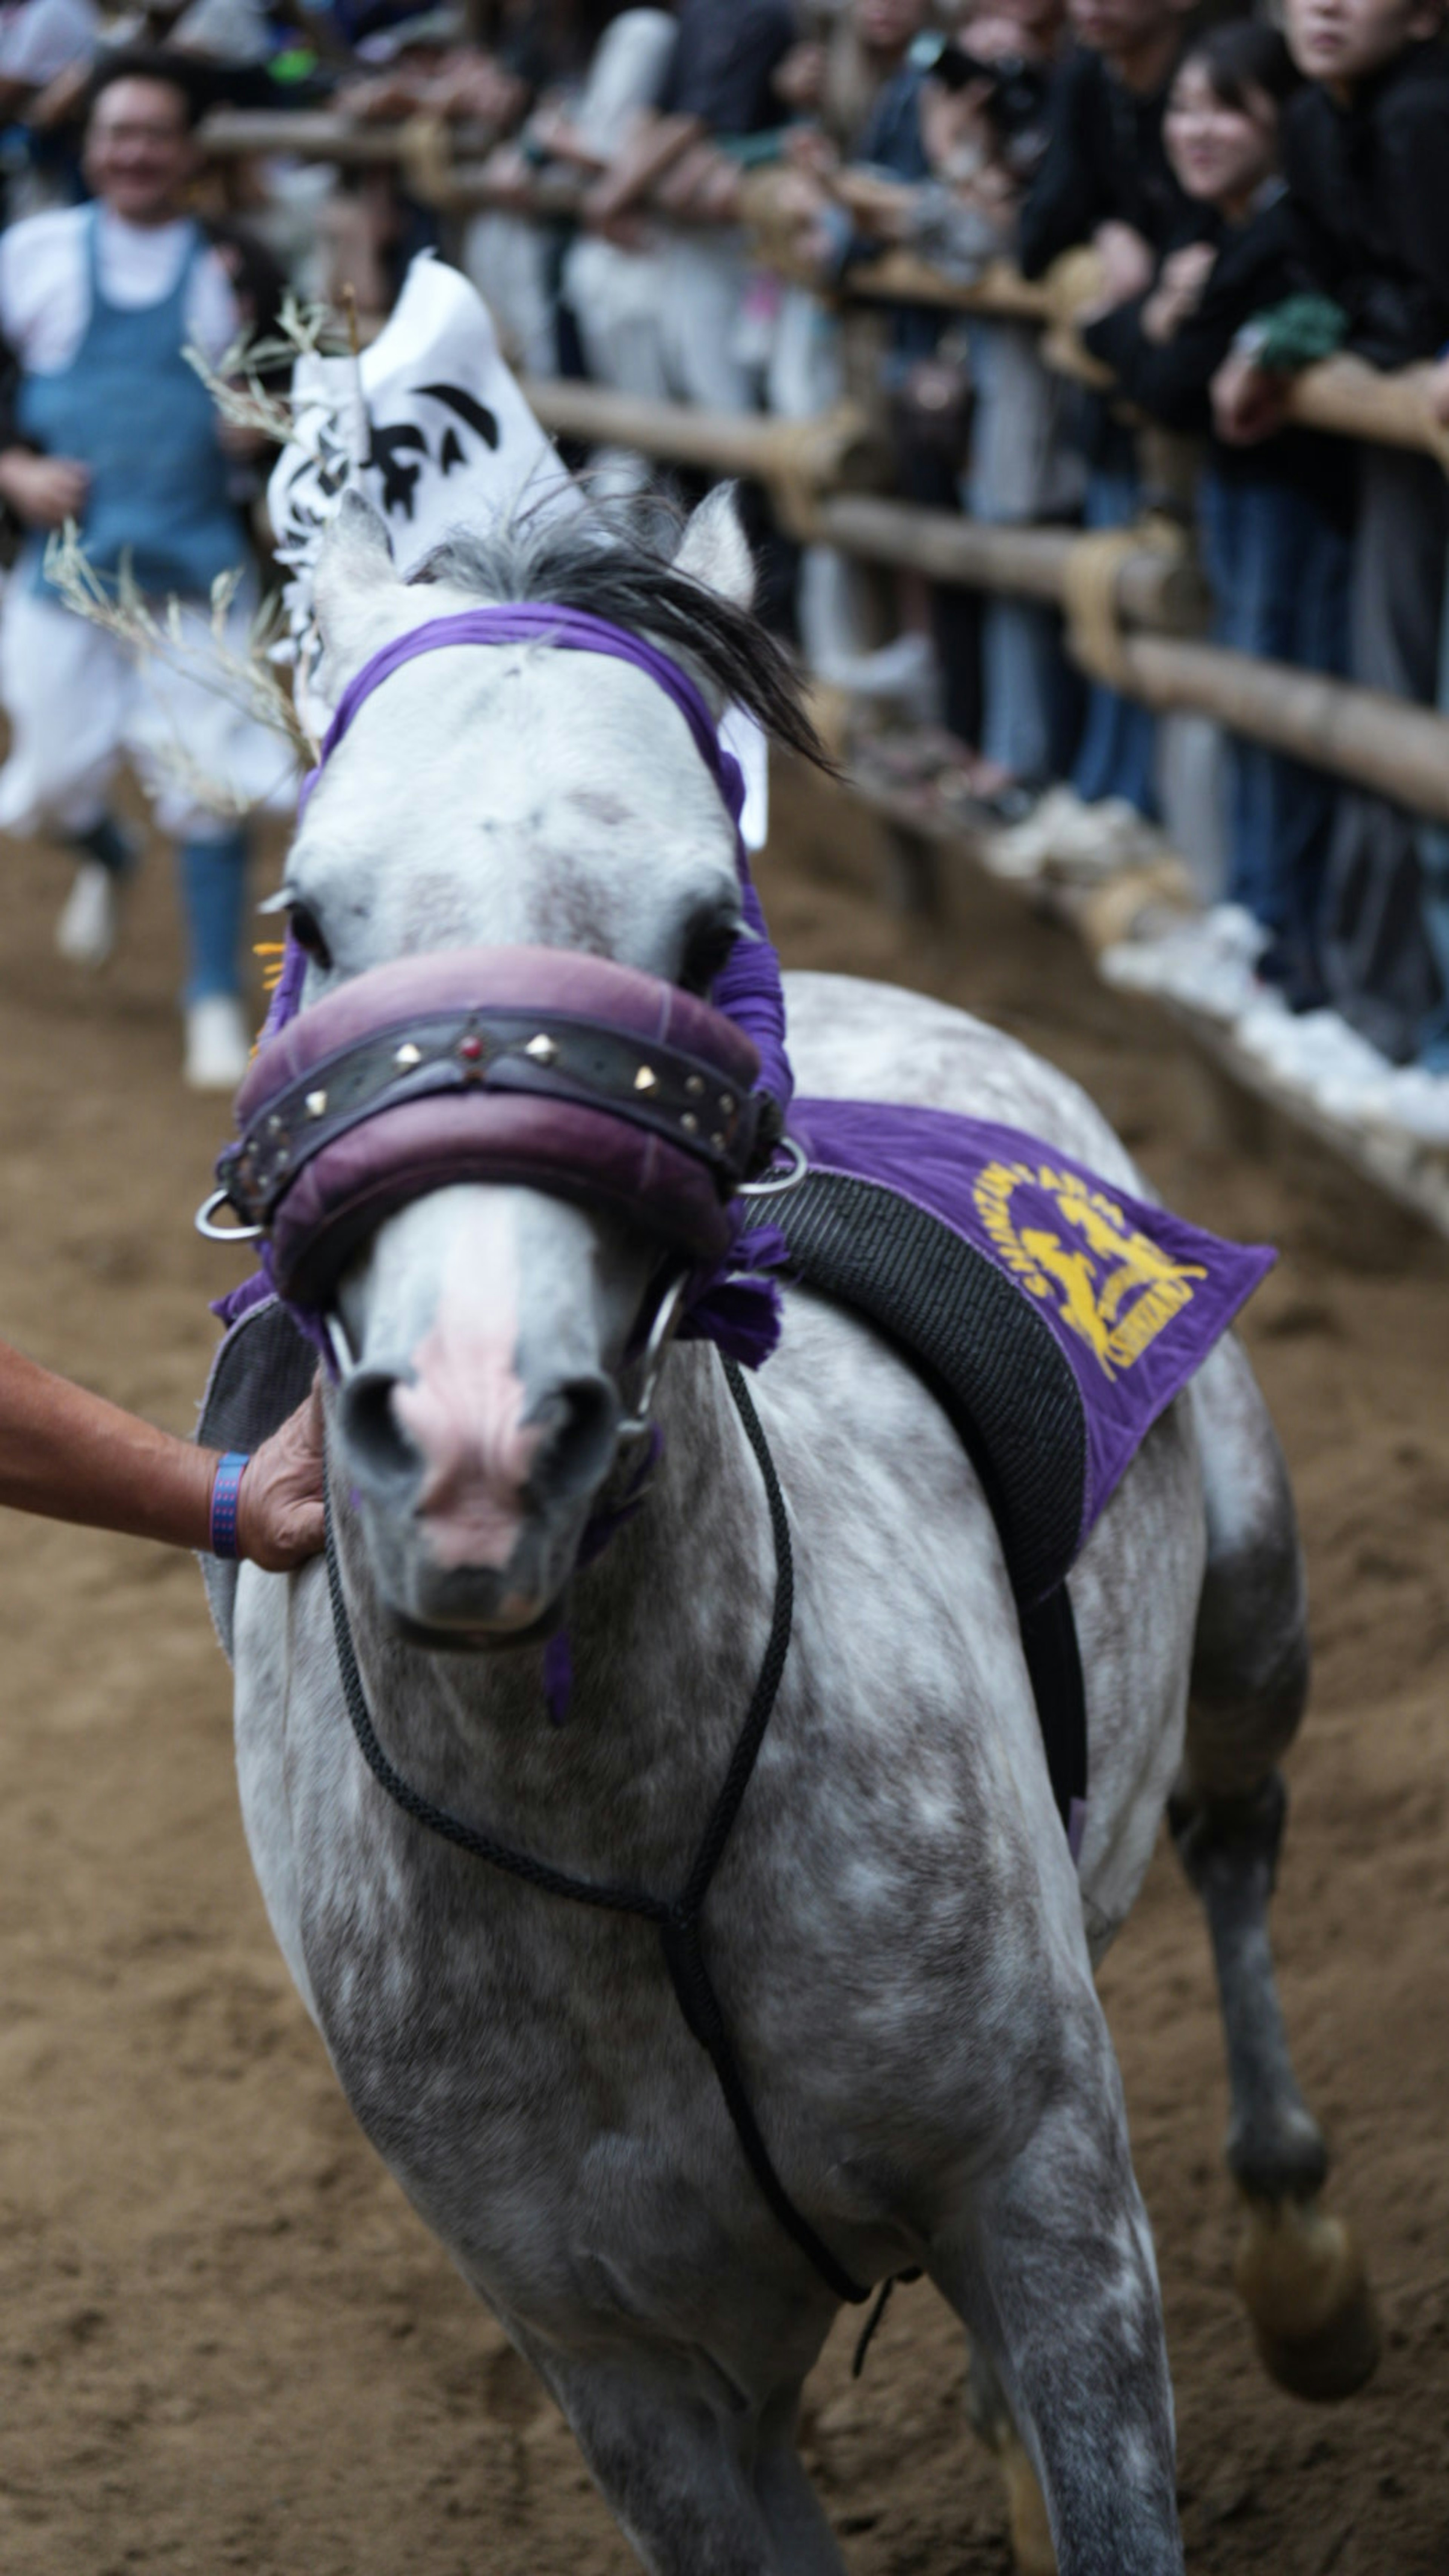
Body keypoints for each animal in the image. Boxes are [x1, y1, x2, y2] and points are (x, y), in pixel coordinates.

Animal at [231, 487, 1372, 2576]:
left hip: (1257, 1608)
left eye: (703, 928)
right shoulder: (629, 2376)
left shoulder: (1048, 2202)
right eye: (312, 918)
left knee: (1237, 1828)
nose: (477, 1446)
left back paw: (1304, 2260)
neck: (621, 1836)